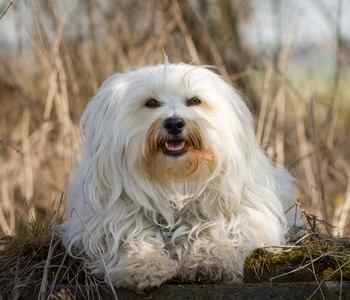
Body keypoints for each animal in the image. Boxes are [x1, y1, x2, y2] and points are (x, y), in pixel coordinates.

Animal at [60, 62, 298, 290]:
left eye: (194, 101)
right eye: (151, 103)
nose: (174, 123)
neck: (176, 180)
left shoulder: (242, 213)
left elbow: (217, 229)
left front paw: (209, 261)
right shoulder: (109, 219)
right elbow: (129, 235)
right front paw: (143, 263)